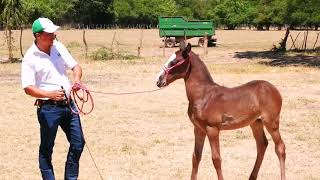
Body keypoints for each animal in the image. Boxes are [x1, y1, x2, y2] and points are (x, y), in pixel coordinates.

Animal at [156, 43, 286, 179]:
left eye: (175, 62)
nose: (158, 80)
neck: (203, 95)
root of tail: (274, 88)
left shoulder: (212, 129)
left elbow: (216, 159)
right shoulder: (198, 129)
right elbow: (196, 157)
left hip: (271, 122)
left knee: (280, 147)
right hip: (256, 123)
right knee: (262, 145)